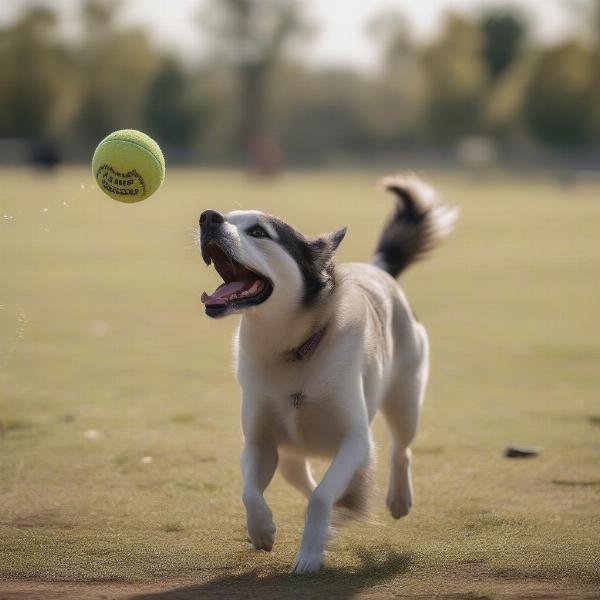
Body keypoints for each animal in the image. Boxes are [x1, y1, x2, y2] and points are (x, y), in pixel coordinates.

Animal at [197, 173, 454, 572]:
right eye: (226, 216)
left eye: (258, 231)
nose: (207, 217)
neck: (293, 352)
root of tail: (378, 269)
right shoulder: (260, 442)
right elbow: (251, 492)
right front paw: (262, 531)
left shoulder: (356, 441)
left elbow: (322, 496)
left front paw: (308, 555)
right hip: (291, 455)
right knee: (309, 481)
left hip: (406, 402)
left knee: (400, 449)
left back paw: (397, 499)